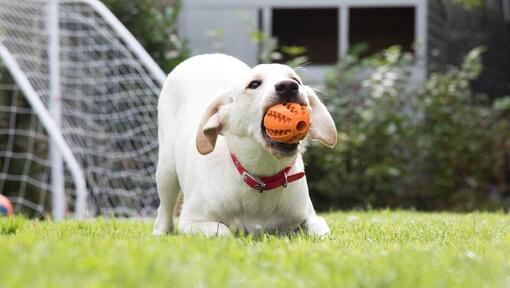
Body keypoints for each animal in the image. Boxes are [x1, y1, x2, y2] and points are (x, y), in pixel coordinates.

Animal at [153, 53, 336, 236]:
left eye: (296, 80)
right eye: (254, 84)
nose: (288, 86)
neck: (262, 178)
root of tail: (203, 56)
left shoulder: (309, 216)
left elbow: (320, 229)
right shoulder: (191, 221)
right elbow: (223, 231)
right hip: (166, 170)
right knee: (164, 208)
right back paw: (160, 231)